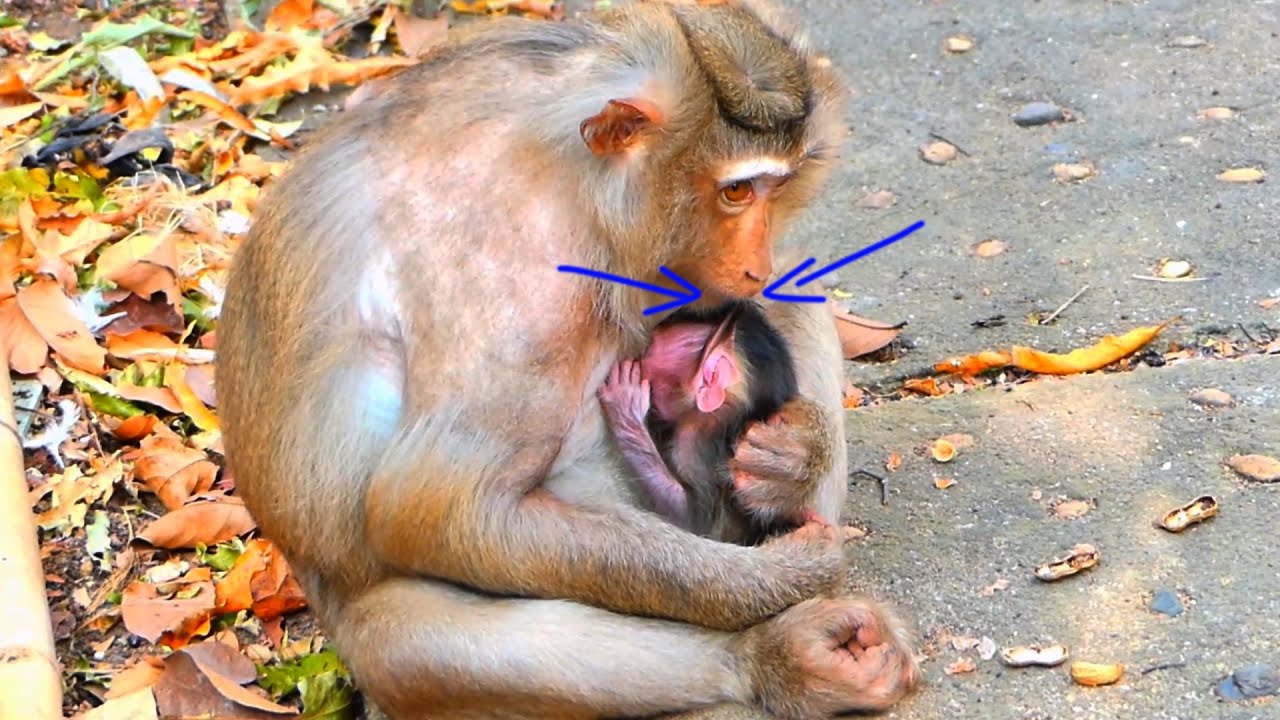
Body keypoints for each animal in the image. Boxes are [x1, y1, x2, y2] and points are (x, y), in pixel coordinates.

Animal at [216, 1, 921, 718]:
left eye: (775, 190)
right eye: (735, 193)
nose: (757, 262)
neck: (582, 189)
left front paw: (793, 459)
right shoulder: (519, 283)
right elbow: (437, 508)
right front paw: (783, 576)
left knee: (794, 299)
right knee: (402, 637)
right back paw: (769, 656)